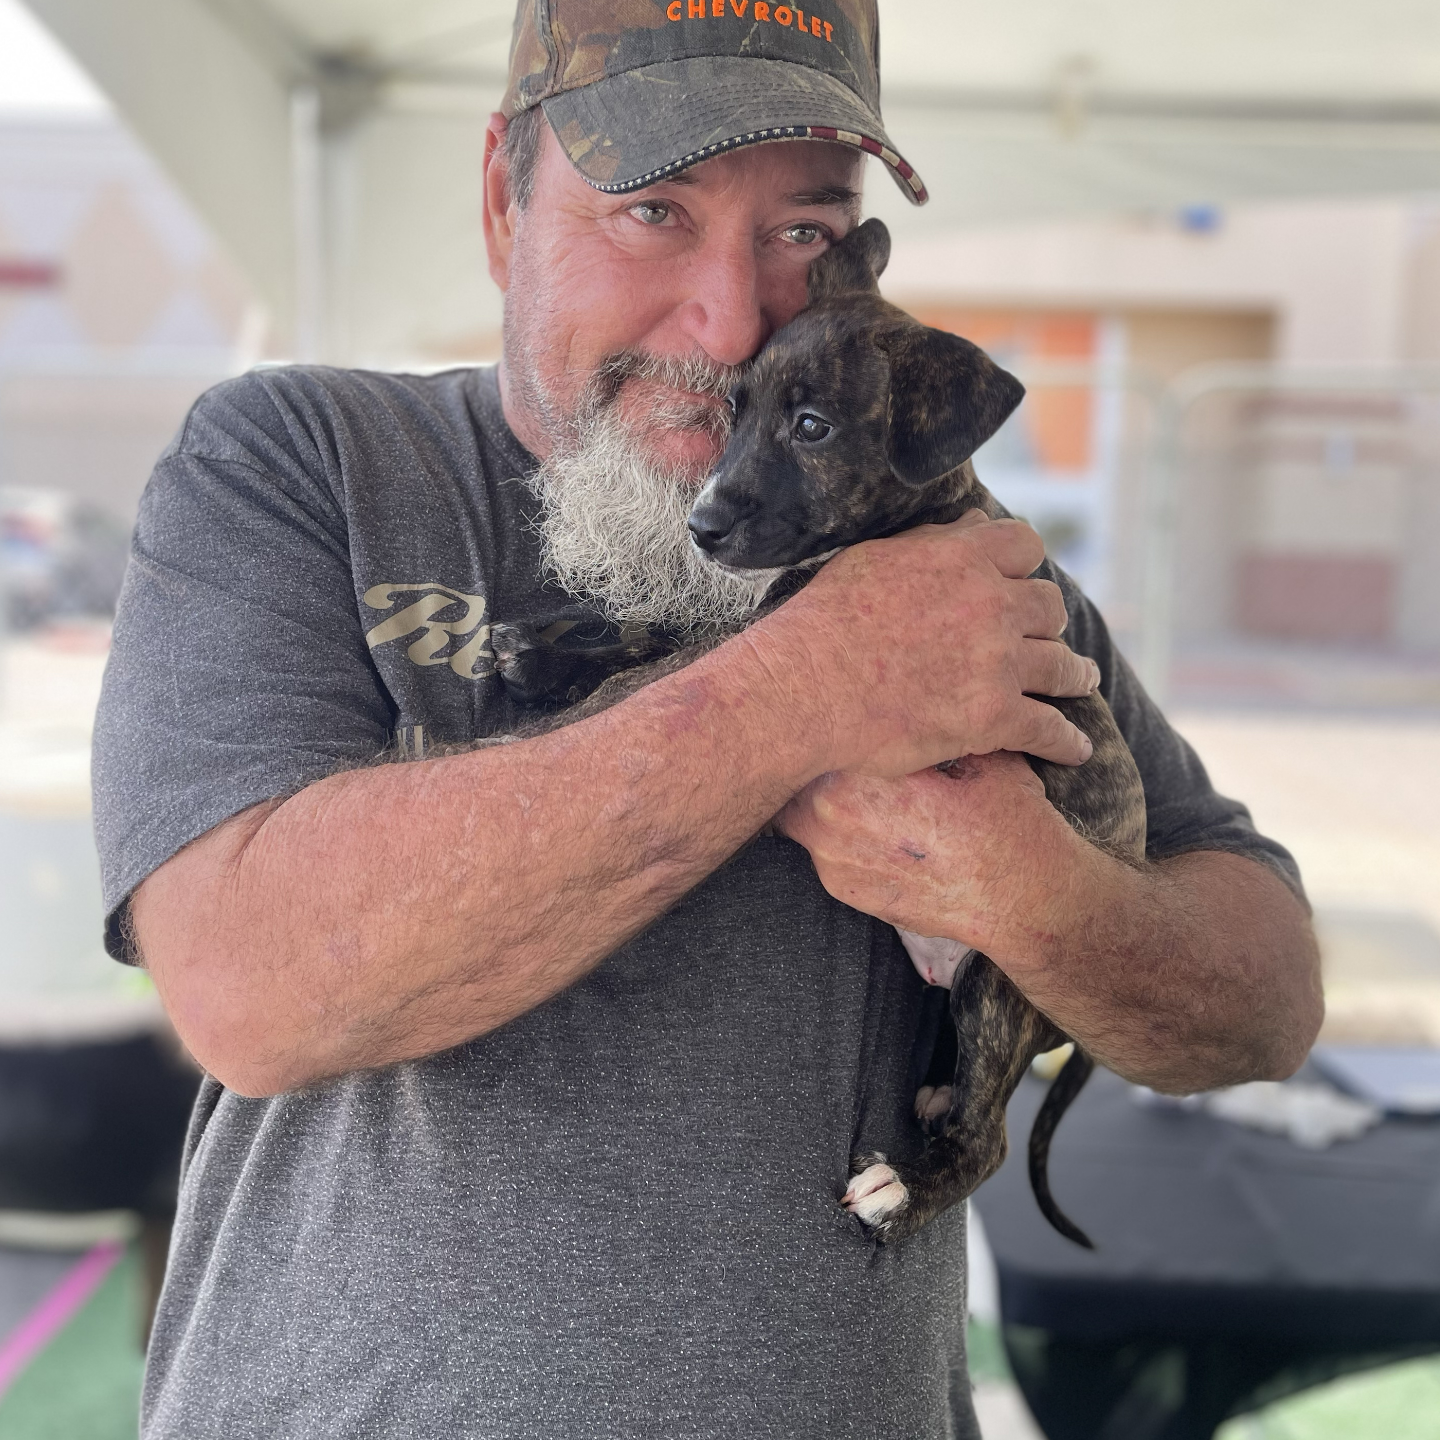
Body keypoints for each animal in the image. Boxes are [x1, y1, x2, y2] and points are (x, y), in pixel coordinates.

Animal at [495, 218, 1146, 1244]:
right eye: (736, 412)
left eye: (813, 427)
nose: (702, 527)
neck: (912, 515)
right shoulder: (764, 620)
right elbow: (670, 638)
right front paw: (547, 651)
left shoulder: (780, 628)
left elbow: (661, 674)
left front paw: (542, 735)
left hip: (1000, 980)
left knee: (990, 1138)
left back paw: (903, 1186)